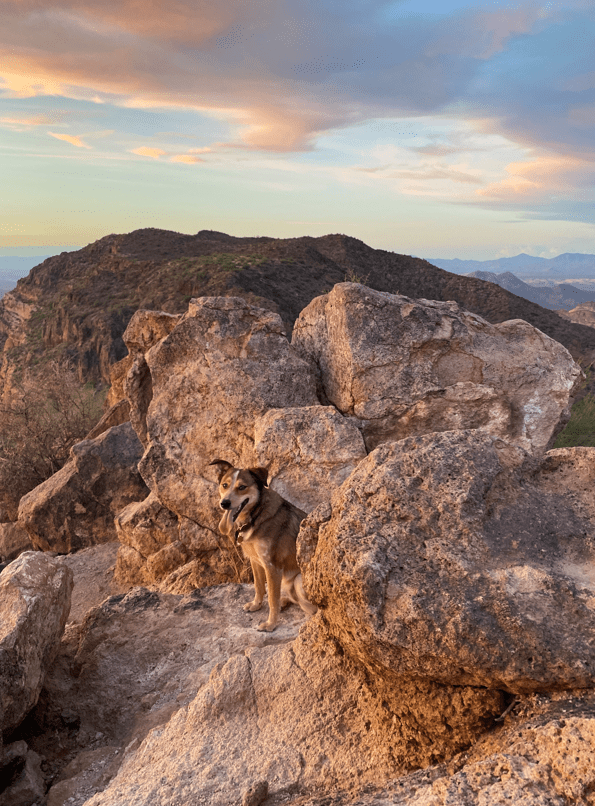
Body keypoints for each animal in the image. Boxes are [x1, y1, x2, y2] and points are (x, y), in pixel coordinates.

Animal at [212, 460, 318, 632]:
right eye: (224, 485)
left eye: (242, 487)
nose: (224, 503)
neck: (255, 515)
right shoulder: (255, 560)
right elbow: (259, 586)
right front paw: (256, 605)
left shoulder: (272, 566)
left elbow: (272, 599)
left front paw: (271, 624)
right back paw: (284, 601)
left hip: (298, 580)